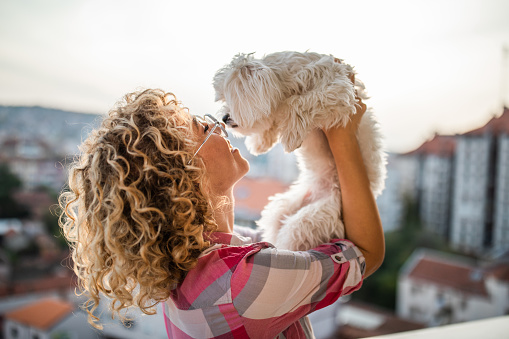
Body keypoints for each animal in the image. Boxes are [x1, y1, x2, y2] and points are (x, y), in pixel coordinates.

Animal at [211, 51, 384, 252]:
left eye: (231, 97)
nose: (224, 117)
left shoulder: (338, 90)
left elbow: (296, 102)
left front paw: (290, 134)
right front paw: (261, 141)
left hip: (311, 219)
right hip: (281, 210)